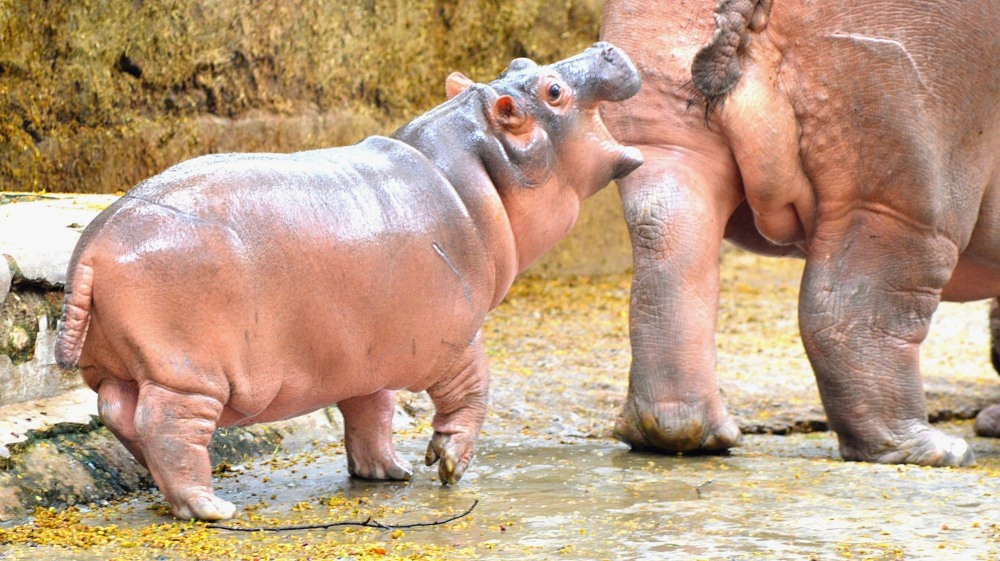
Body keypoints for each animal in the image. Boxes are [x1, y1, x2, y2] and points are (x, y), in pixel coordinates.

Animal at [54, 42, 642, 520]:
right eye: (553, 91)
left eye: (520, 63)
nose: (606, 46)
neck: (474, 170)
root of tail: (94, 245)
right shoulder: (451, 336)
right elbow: (473, 387)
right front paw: (445, 465)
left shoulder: (366, 353)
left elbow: (371, 413)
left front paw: (390, 474)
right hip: (187, 371)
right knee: (166, 424)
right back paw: (210, 508)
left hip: (123, 366)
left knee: (119, 414)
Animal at [600, 0, 1000, 466]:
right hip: (903, 180)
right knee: (849, 310)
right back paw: (933, 450)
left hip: (667, 142)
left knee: (665, 250)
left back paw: (683, 435)